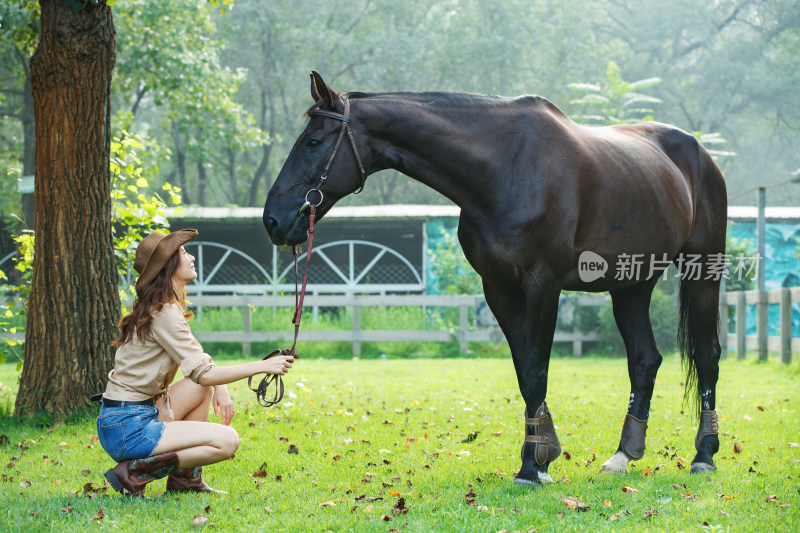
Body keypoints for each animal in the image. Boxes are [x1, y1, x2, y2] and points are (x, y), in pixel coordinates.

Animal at [266, 71, 728, 486]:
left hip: (703, 268)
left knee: (707, 355)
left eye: (313, 142)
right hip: (632, 283)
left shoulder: (543, 284)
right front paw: (541, 455)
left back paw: (704, 455)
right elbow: (524, 371)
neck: (503, 168)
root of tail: (698, 154)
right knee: (644, 360)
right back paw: (623, 456)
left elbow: (537, 369)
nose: (273, 219)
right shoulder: (499, 289)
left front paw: (532, 466)